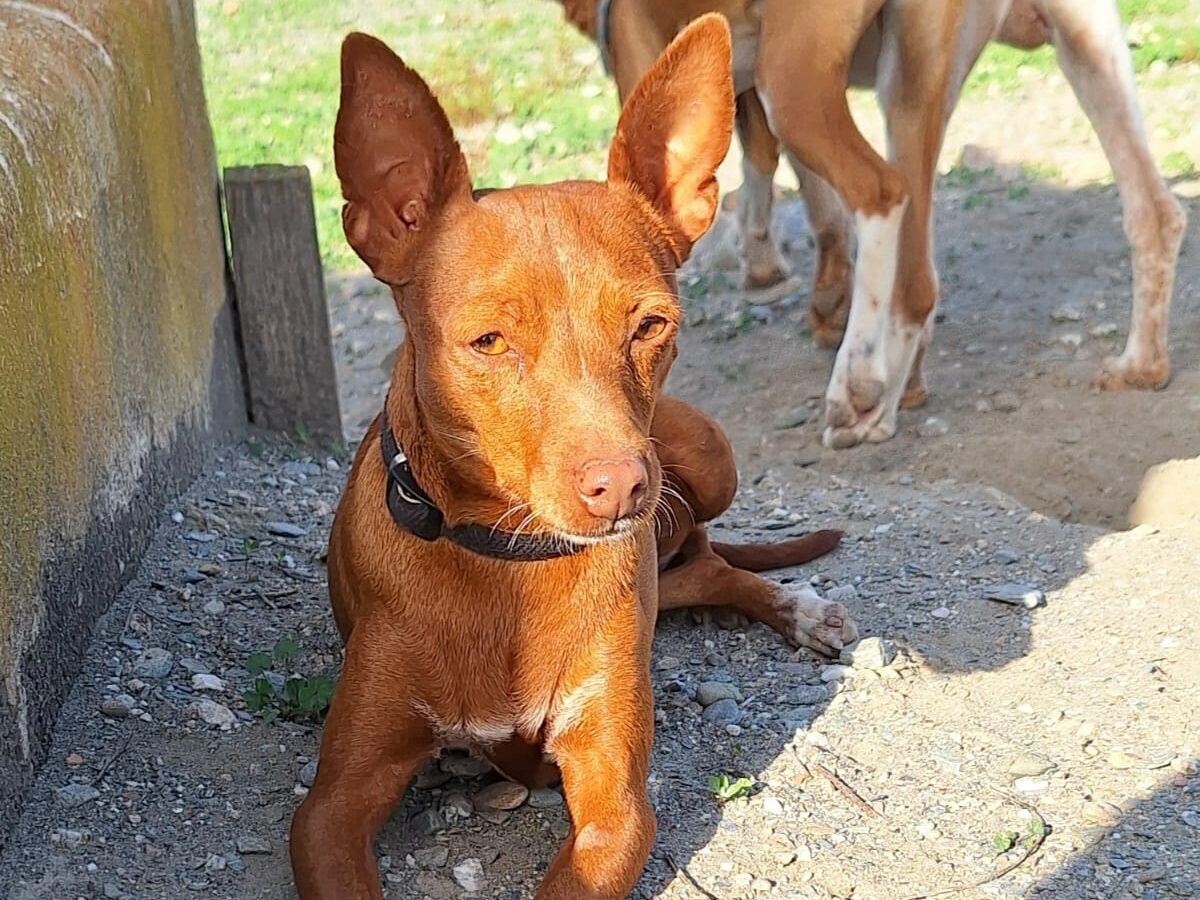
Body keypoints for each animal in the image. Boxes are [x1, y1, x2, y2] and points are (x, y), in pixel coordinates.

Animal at [288, 17, 854, 897]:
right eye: (489, 341)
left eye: (650, 325)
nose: (622, 487)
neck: (506, 562)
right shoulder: (329, 809)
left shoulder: (615, 804)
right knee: (699, 568)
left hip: (709, 455)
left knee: (715, 562)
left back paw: (801, 610)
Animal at [556, 0, 1185, 451]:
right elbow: (789, 176)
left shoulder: (663, 69)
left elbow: (762, 160)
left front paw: (768, 268)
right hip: (997, 62)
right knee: (1152, 211)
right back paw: (1138, 364)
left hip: (797, 78)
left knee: (880, 192)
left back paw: (858, 384)